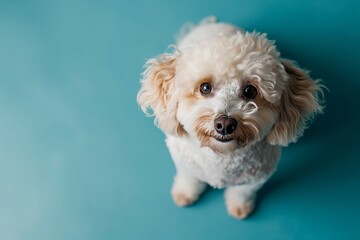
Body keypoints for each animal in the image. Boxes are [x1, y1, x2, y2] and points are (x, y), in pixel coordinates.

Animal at [137, 17, 324, 219]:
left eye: (250, 91)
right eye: (205, 87)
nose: (224, 124)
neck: (221, 157)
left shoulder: (257, 178)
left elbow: (243, 191)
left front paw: (239, 205)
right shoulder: (183, 162)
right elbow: (189, 177)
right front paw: (185, 192)